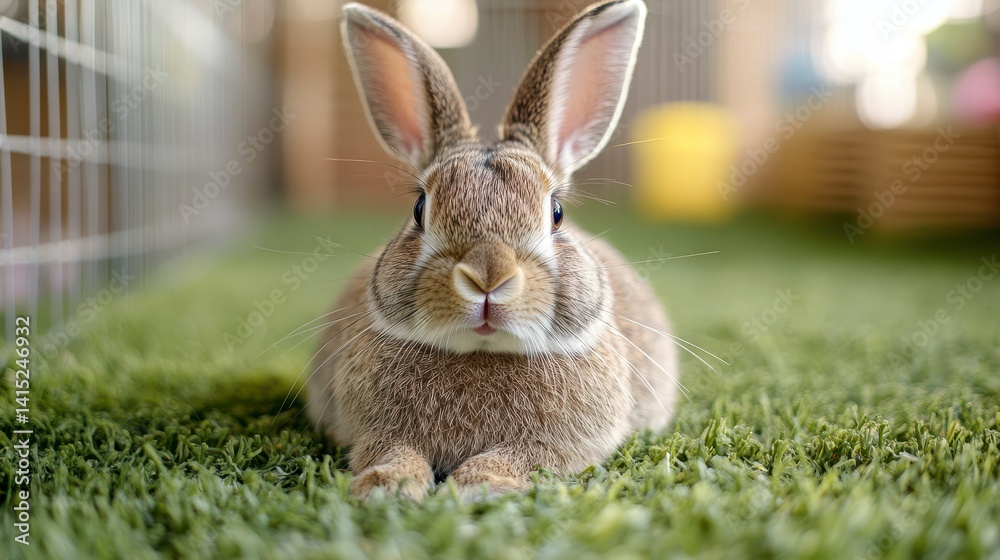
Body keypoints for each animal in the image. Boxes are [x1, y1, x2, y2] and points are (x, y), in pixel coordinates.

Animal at [306, 0, 678, 501]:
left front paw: (482, 483)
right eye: (419, 209)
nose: (488, 277)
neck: (482, 351)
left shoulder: (558, 448)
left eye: (556, 213)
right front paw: (388, 485)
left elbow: (527, 457)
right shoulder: (375, 432)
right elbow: (390, 450)